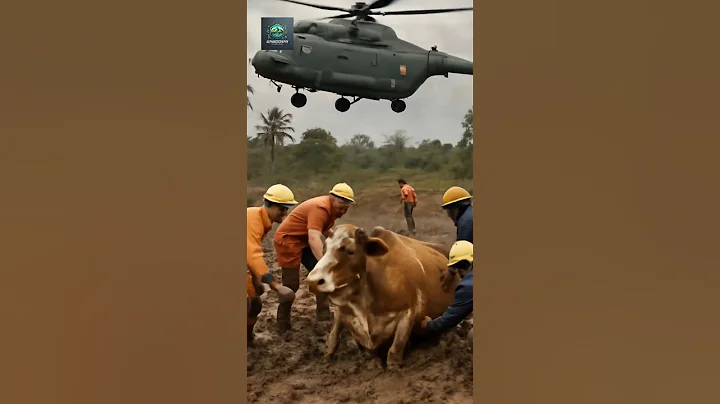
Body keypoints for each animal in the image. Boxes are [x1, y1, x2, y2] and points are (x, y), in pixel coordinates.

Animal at [306, 224, 460, 370]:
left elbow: (396, 346)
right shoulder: (348, 317)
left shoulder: (409, 311)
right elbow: (368, 350)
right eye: (324, 248)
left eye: (350, 250)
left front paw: (394, 365)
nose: (313, 281)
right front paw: (374, 363)